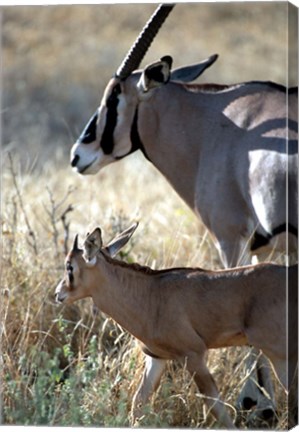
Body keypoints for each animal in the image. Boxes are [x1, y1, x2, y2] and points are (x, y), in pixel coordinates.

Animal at [55, 224, 296, 426]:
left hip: (280, 356)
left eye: (70, 266)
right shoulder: (156, 358)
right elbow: (137, 403)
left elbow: (216, 407)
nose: (58, 294)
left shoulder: (193, 355)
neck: (151, 295)